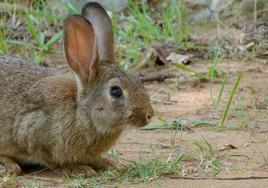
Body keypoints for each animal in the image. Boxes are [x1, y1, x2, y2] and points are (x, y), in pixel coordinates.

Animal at [0, 2, 154, 177]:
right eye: (116, 91)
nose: (149, 114)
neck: (83, 112)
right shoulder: (33, 131)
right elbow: (52, 160)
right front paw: (79, 169)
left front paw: (111, 163)